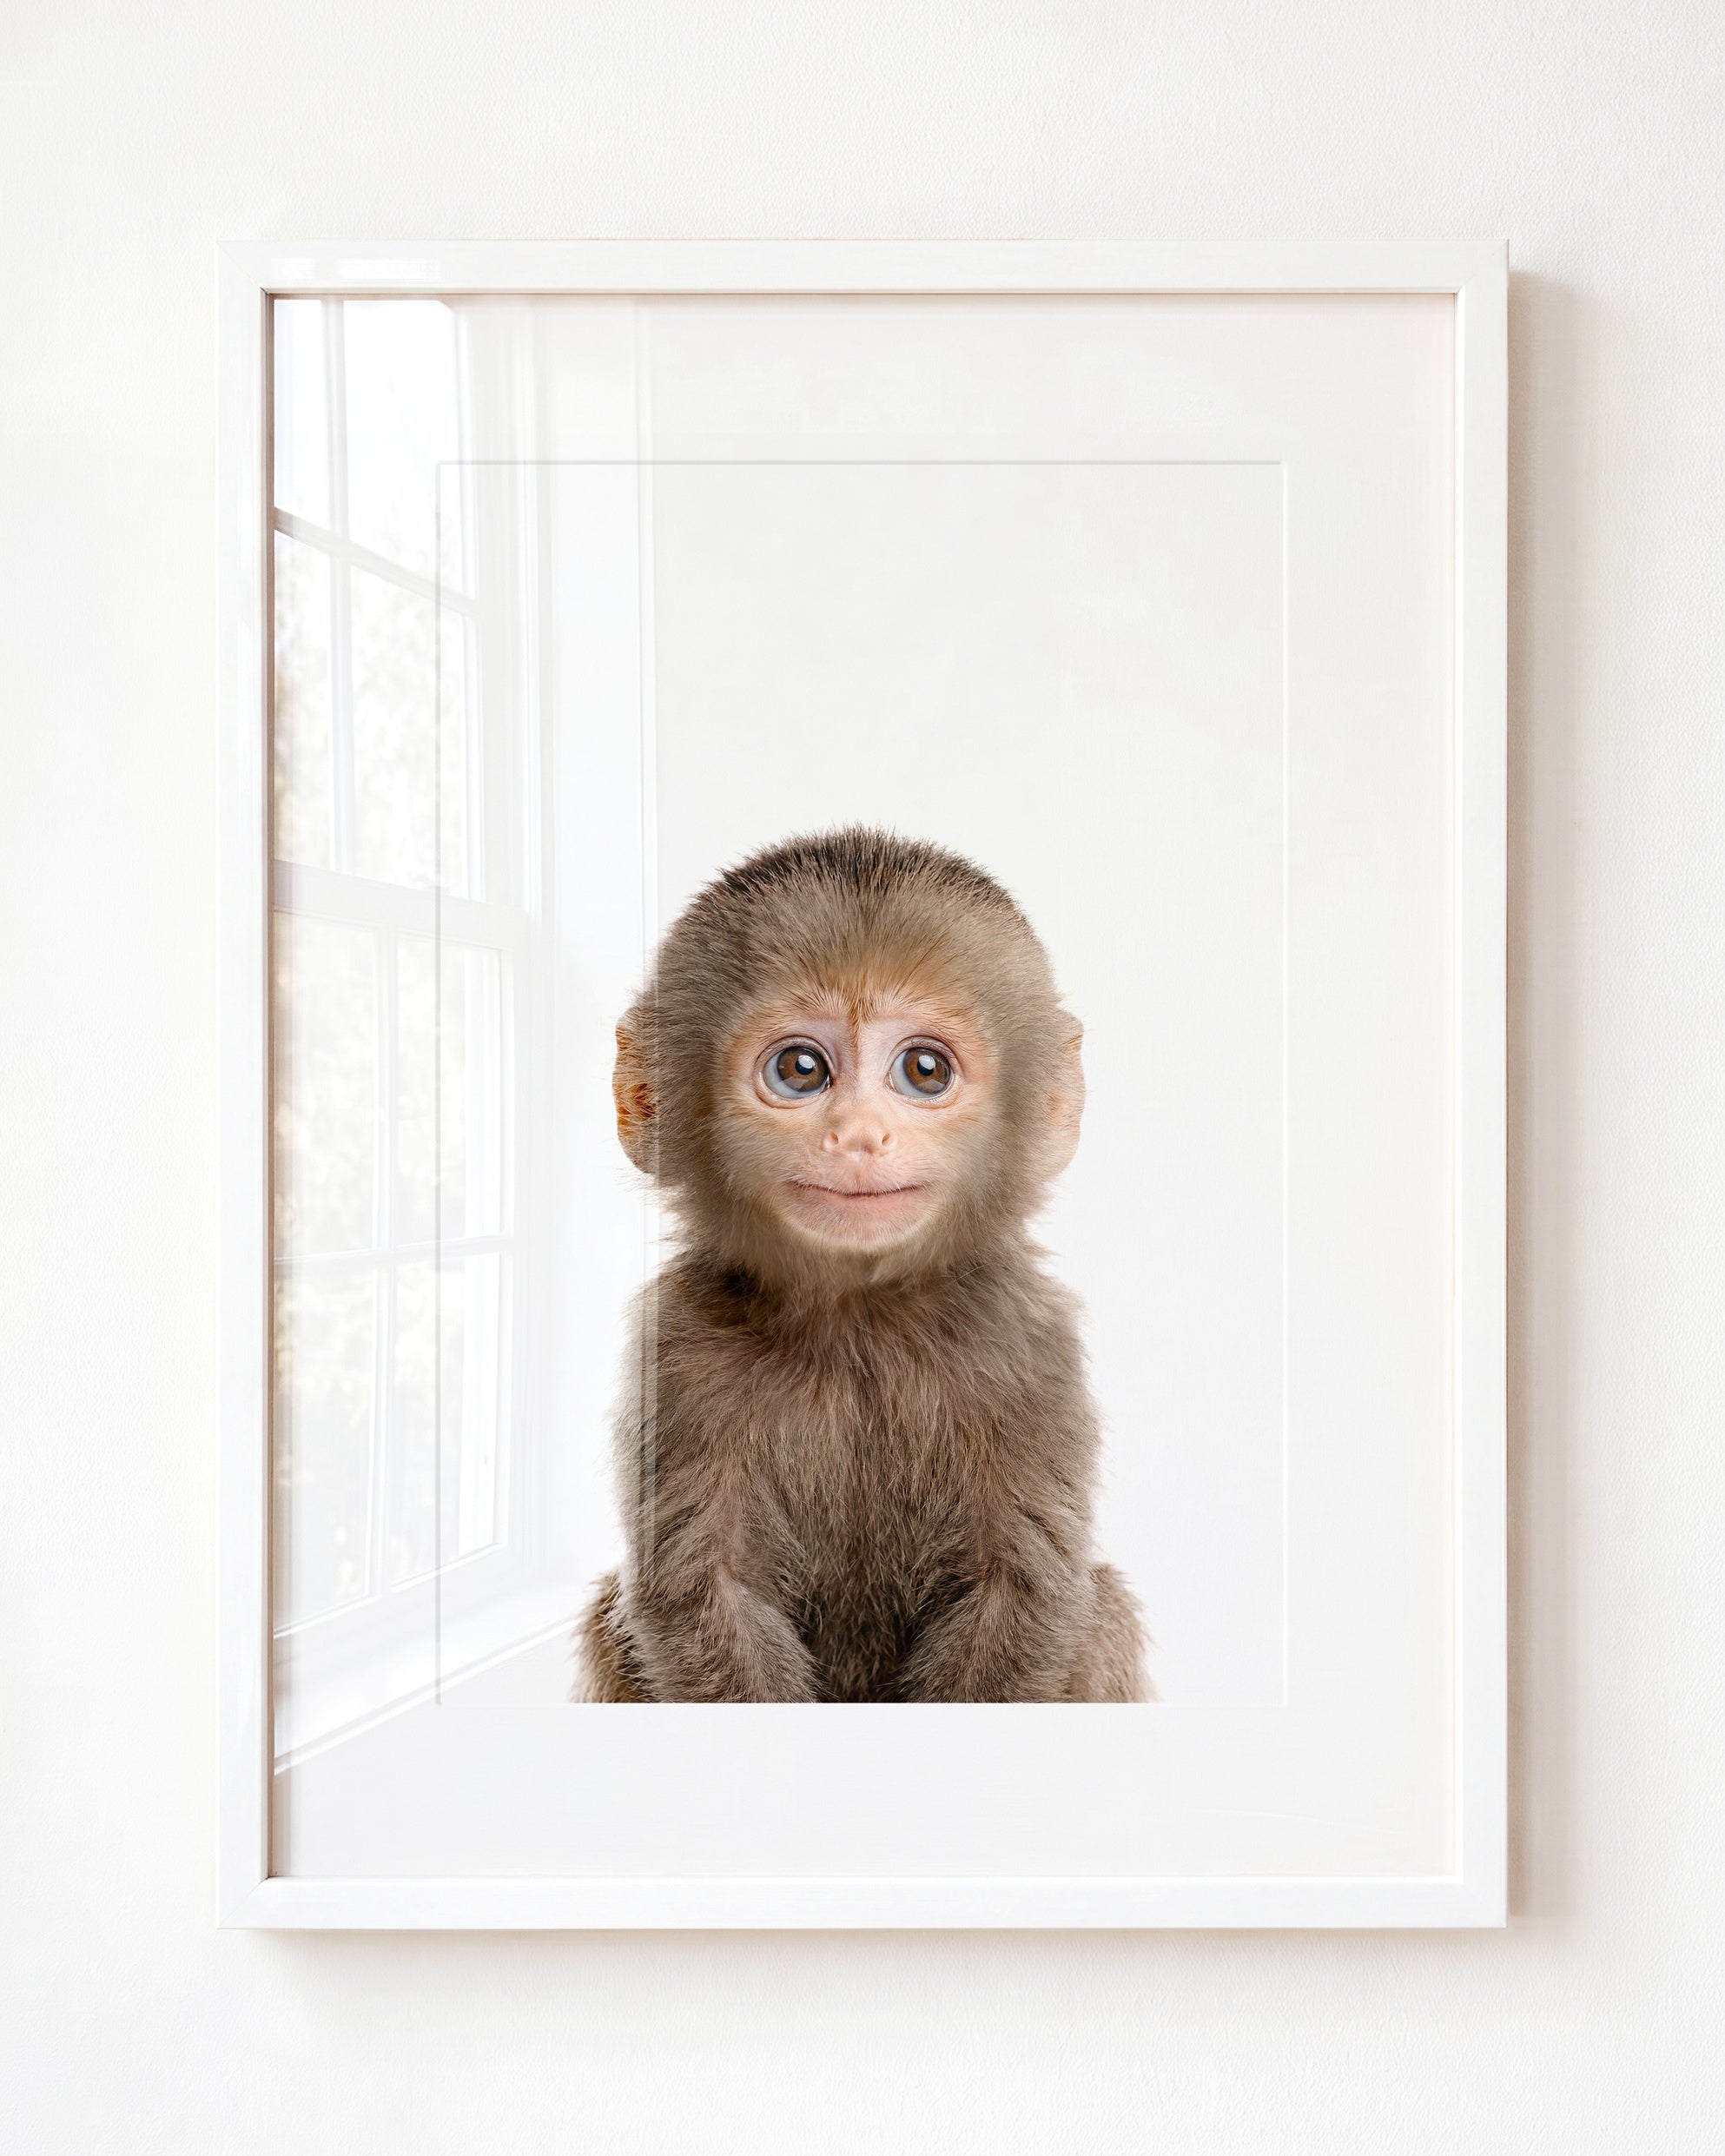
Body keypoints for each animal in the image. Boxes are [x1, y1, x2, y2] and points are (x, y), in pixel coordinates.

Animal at [573, 826, 1148, 1703]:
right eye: (801, 1070)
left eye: (924, 1070)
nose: (858, 1136)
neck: (860, 1320)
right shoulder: (676, 1350)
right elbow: (703, 1594)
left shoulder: (1030, 1345)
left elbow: (1021, 1591)